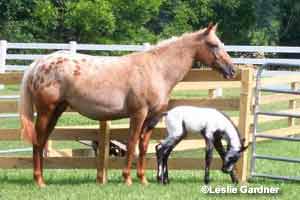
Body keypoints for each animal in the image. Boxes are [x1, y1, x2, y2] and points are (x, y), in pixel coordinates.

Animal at [19, 23, 238, 188]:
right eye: (213, 45)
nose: (232, 70)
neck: (156, 69)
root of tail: (39, 63)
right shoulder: (138, 114)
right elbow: (132, 143)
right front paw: (128, 179)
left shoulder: (152, 118)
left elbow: (143, 145)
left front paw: (144, 179)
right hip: (46, 111)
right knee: (38, 141)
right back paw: (39, 181)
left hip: (57, 111)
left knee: (42, 141)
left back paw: (42, 177)